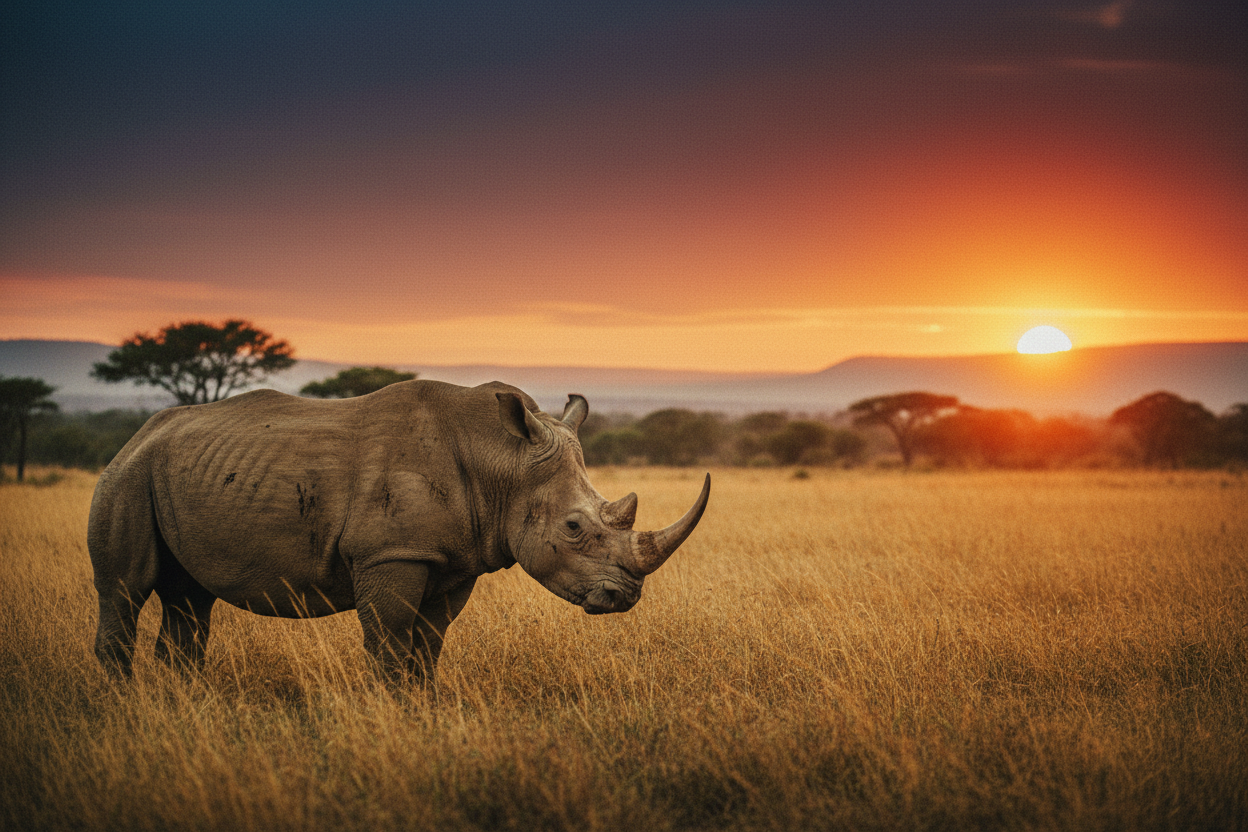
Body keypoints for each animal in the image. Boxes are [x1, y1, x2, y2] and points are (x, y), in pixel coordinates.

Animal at [88, 381, 710, 681]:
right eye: (575, 527)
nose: (624, 597)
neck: (502, 462)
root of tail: (136, 435)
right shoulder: (391, 553)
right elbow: (390, 641)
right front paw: (390, 710)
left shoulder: (453, 559)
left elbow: (427, 645)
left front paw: (421, 710)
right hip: (127, 476)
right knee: (125, 589)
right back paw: (124, 706)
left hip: (174, 473)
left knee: (190, 600)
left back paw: (181, 702)